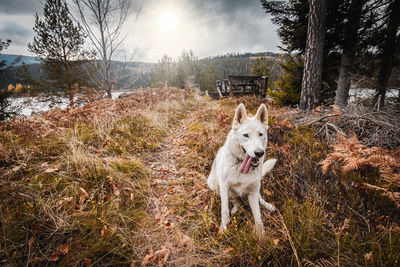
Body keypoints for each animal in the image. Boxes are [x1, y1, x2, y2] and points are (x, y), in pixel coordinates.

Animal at [208, 103, 276, 231]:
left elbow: (258, 216)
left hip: (256, 187)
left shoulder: (253, 192)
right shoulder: (224, 187)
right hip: (214, 187)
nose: (259, 153)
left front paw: (261, 234)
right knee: (236, 201)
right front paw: (224, 229)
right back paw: (235, 209)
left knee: (259, 198)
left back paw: (268, 205)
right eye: (246, 135)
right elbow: (224, 210)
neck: (240, 165)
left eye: (260, 134)